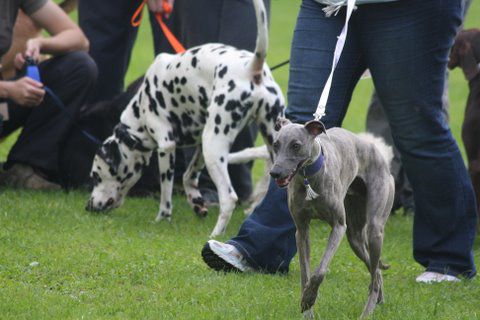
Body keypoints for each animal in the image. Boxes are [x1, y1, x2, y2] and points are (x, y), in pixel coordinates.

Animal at [85, 0, 284, 238]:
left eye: (96, 176)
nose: (88, 206)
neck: (140, 108)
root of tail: (251, 66)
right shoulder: (198, 148)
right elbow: (188, 177)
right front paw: (197, 203)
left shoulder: (166, 148)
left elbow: (166, 195)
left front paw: (162, 218)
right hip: (261, 145)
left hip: (214, 148)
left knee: (229, 198)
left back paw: (215, 235)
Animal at [270, 119, 394, 318]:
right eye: (276, 145)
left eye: (296, 145)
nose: (275, 173)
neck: (309, 179)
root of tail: (376, 150)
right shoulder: (302, 231)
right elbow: (305, 274)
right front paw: (307, 307)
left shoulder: (338, 226)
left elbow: (320, 271)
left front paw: (310, 297)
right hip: (355, 238)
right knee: (375, 272)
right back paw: (378, 299)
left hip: (375, 228)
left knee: (374, 275)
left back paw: (367, 311)